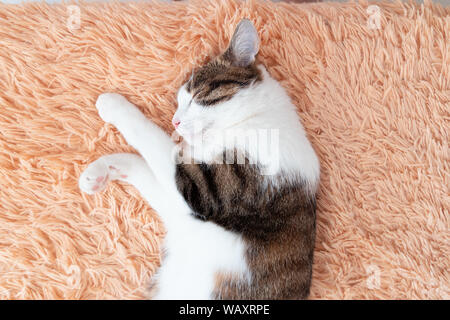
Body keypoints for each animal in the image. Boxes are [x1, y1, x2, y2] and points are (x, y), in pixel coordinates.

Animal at [80, 19, 320, 300]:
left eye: (196, 97)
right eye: (179, 103)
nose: (175, 121)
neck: (253, 121)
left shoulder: (204, 189)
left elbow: (150, 136)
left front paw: (113, 105)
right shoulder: (181, 209)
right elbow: (144, 170)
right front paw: (99, 172)